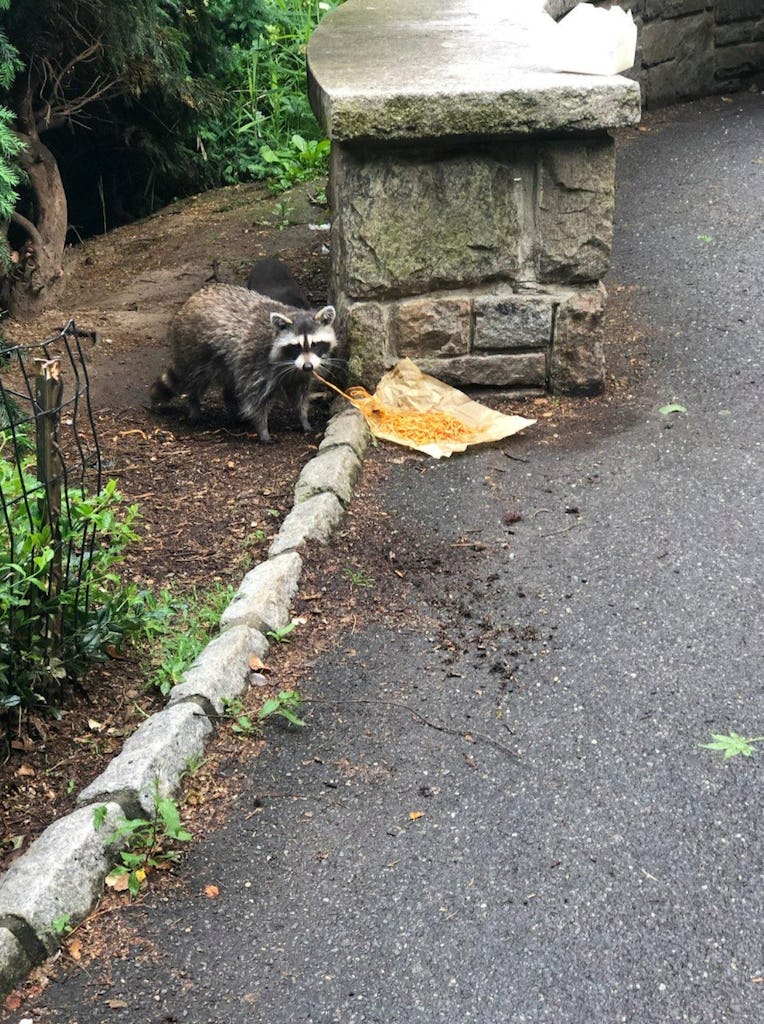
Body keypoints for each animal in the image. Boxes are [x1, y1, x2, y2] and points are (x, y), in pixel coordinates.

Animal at [150, 283, 338, 443]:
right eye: (296, 346)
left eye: (315, 344)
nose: (308, 366)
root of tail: (191, 300)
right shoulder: (257, 362)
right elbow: (255, 397)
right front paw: (263, 429)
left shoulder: (298, 373)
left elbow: (300, 393)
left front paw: (303, 417)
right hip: (194, 348)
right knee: (197, 380)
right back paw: (194, 403)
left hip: (225, 361)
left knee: (229, 383)